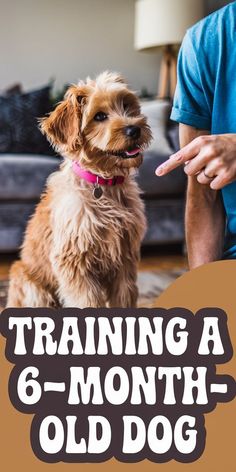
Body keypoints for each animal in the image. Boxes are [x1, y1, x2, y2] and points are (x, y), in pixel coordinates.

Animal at [7, 72, 152, 308]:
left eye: (126, 105)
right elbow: (88, 303)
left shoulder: (125, 260)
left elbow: (123, 299)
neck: (104, 184)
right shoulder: (74, 262)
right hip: (31, 285)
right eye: (99, 116)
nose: (134, 129)